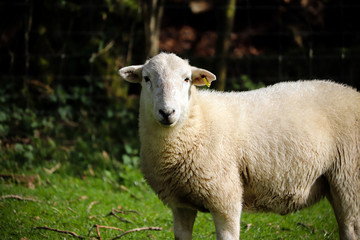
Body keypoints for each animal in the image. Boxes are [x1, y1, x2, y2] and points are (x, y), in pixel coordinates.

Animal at [119, 53, 360, 240]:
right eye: (146, 78)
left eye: (186, 79)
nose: (167, 112)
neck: (198, 122)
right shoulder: (181, 203)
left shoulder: (226, 196)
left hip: (350, 177)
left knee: (351, 228)